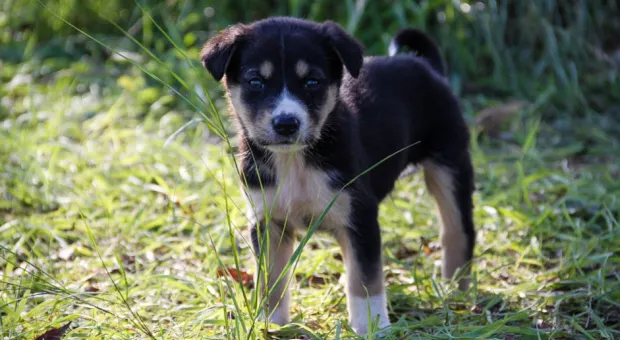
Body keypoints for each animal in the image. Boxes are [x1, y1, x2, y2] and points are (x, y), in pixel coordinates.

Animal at [199, 17, 474, 336]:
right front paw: (271, 322)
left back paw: (456, 290)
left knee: (457, 230)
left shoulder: (360, 217)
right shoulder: (268, 221)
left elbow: (365, 280)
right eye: (255, 82)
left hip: (450, 164)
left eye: (312, 82)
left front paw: (371, 326)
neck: (296, 162)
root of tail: (427, 67)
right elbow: (271, 279)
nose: (286, 124)